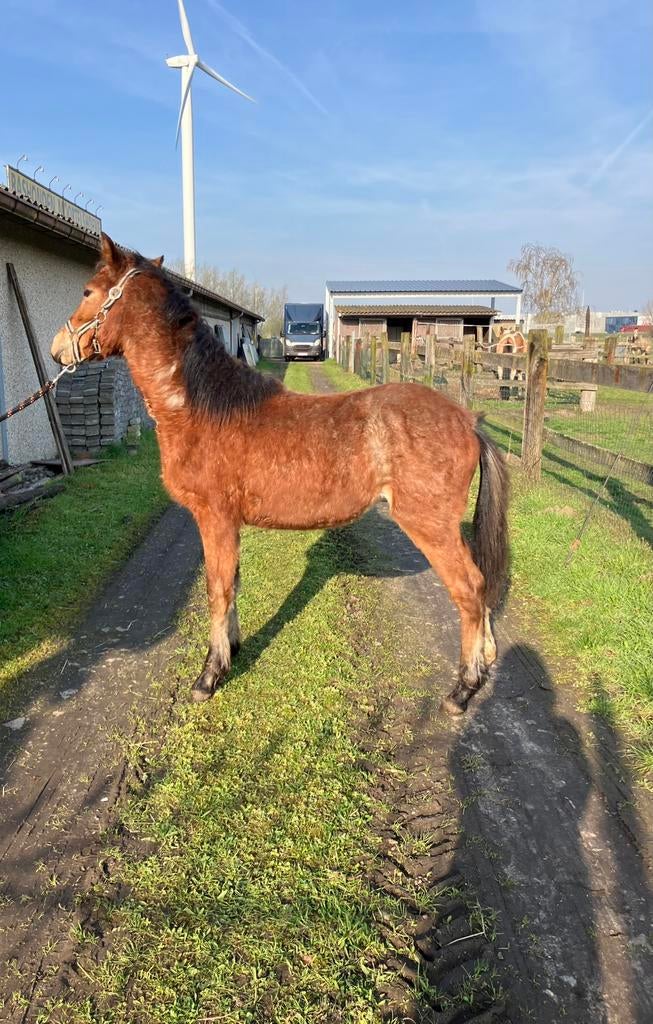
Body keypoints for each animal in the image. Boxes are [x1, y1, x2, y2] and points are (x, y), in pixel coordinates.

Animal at [51, 234, 509, 715]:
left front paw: (209, 676)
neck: (202, 407)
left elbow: (217, 590)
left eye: (87, 291)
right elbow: (232, 584)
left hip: (430, 526)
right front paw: (232, 651)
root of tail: (468, 420)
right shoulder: (227, 524)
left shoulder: (214, 519)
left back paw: (463, 690)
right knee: (481, 587)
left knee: (470, 590)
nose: (57, 348)